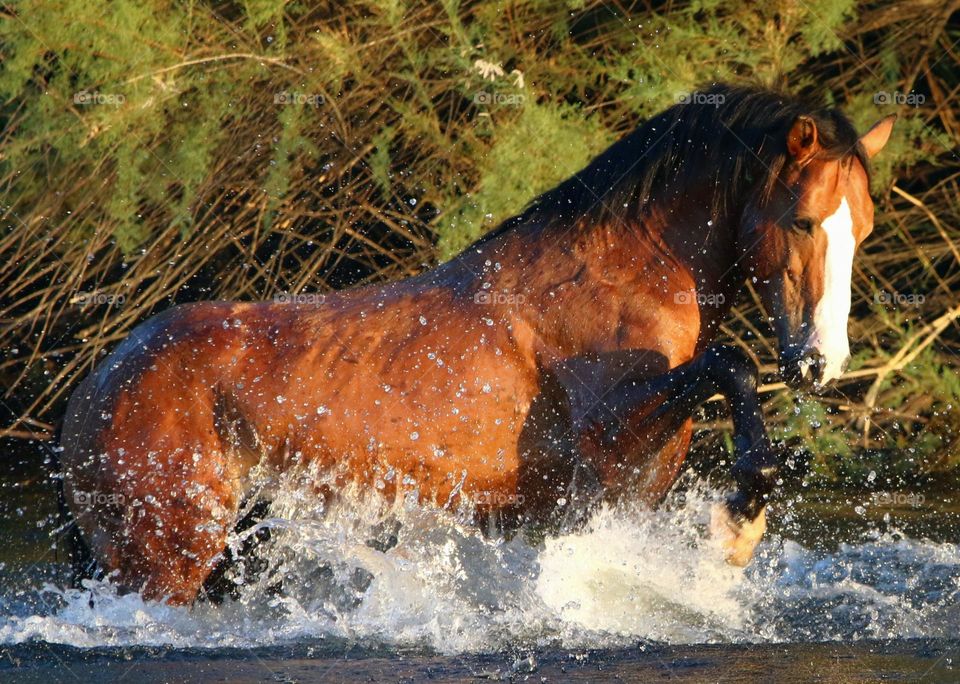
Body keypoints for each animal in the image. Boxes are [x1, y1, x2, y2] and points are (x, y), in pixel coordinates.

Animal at [59, 84, 895, 604]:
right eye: (801, 221)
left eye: (865, 227)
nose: (821, 364)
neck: (620, 274)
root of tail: (94, 388)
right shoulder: (615, 432)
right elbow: (733, 365)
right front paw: (742, 515)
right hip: (167, 558)